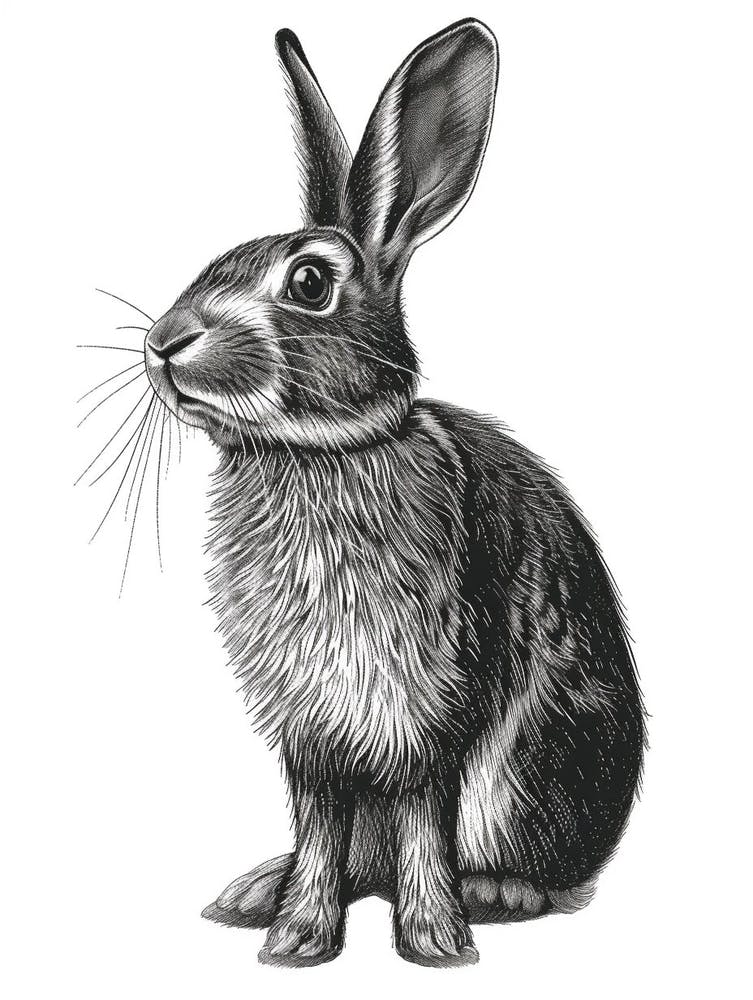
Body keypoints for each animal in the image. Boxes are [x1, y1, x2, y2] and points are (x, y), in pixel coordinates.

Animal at [141, 18, 645, 968]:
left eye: (308, 282)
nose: (163, 342)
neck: (317, 451)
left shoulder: (426, 707)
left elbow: (419, 814)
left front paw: (433, 942)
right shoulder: (309, 730)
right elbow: (318, 822)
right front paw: (296, 937)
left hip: (529, 773)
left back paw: (488, 891)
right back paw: (257, 891)